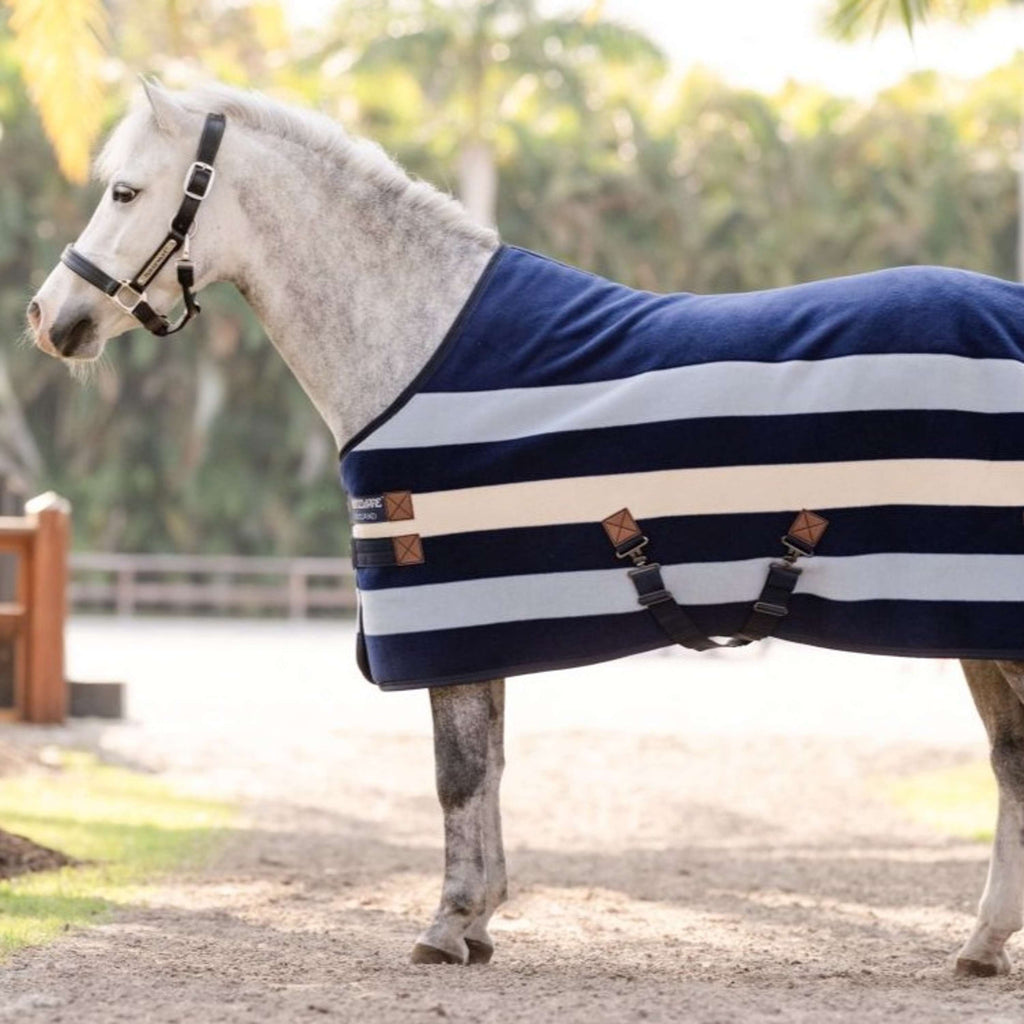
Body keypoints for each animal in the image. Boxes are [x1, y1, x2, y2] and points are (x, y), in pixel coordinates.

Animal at [24, 80, 1024, 978]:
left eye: (125, 191)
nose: (47, 319)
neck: (416, 339)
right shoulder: (478, 629)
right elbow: (492, 766)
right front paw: (478, 925)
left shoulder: (444, 615)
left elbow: (457, 773)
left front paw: (445, 926)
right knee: (1010, 762)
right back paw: (980, 946)